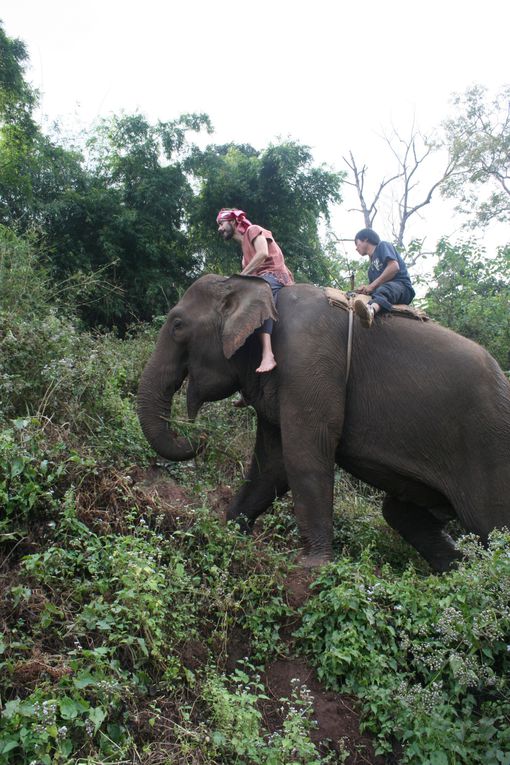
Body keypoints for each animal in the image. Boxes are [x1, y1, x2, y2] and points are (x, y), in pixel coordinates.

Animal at [137, 274, 510, 568]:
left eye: (178, 325)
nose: (195, 438)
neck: (261, 293)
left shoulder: (308, 361)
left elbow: (304, 454)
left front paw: (311, 566)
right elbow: (271, 464)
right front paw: (227, 533)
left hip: (489, 448)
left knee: (490, 524)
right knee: (400, 514)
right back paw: (457, 574)